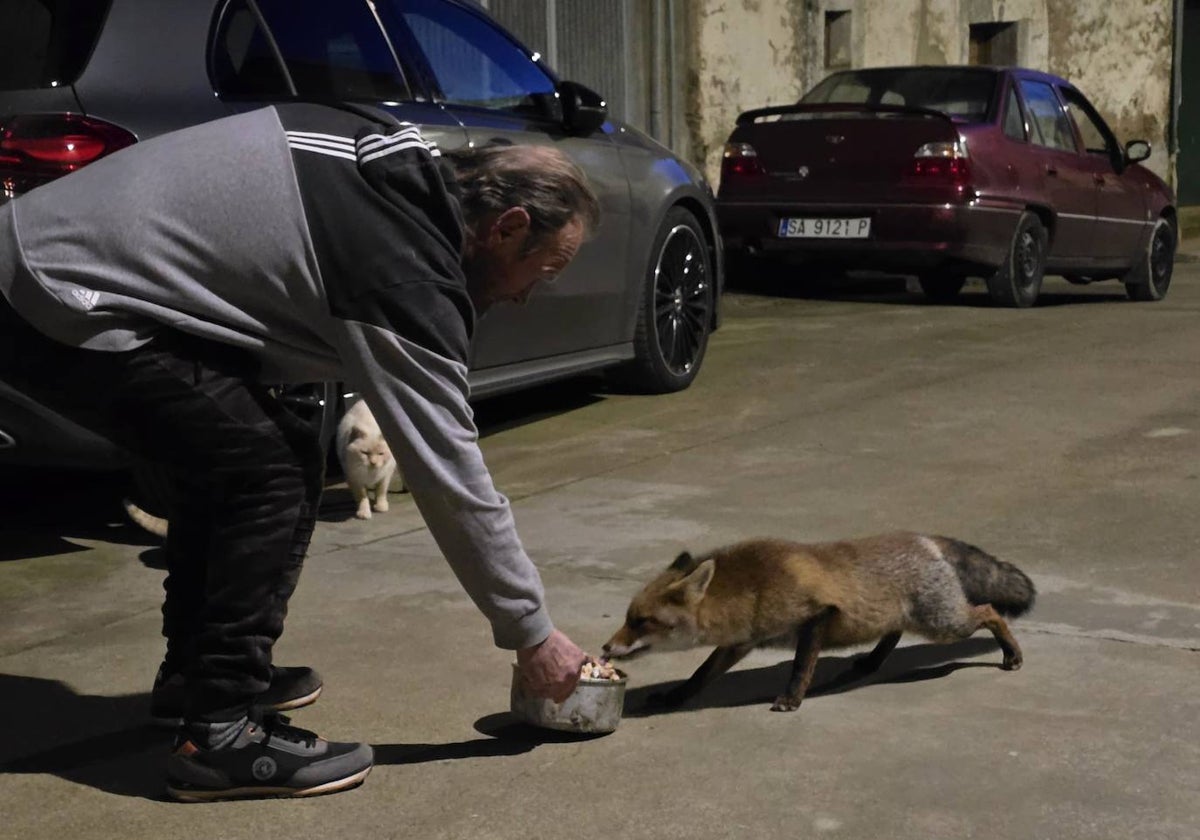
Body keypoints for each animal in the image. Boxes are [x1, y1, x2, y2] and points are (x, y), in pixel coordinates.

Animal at [604, 535, 1036, 710]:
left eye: (642, 621)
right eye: (628, 618)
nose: (606, 648)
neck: (752, 588)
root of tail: (926, 539)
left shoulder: (817, 617)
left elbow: (801, 667)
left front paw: (791, 700)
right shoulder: (740, 642)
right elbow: (699, 675)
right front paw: (674, 697)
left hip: (943, 624)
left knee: (990, 612)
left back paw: (1012, 655)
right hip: (914, 617)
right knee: (892, 632)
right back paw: (869, 662)